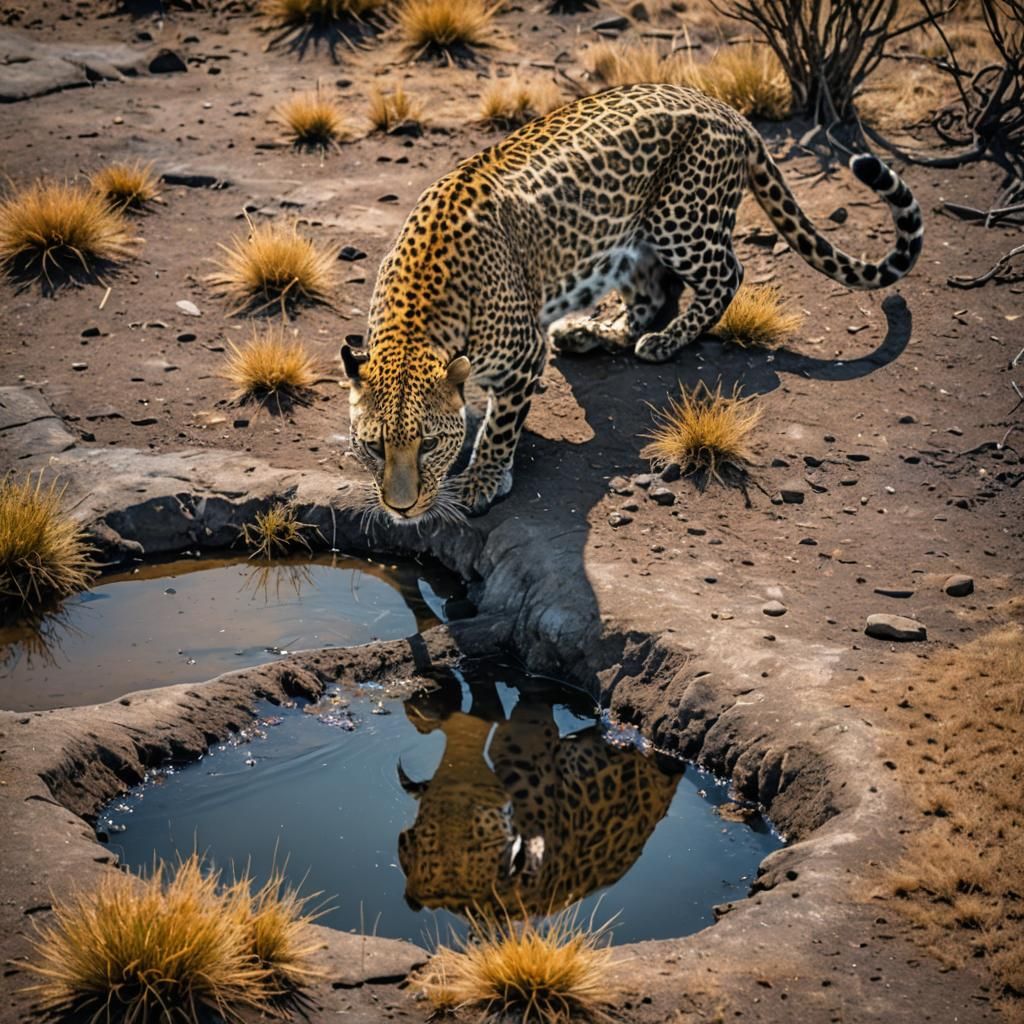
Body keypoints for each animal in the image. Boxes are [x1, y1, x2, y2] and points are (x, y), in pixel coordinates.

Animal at [341, 82, 923, 521]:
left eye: (428, 445)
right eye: (373, 447)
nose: (400, 509)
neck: (417, 317)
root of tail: (728, 110)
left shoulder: (525, 356)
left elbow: (500, 428)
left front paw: (483, 478)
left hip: (681, 221)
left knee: (726, 274)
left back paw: (664, 342)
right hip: (629, 245)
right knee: (654, 292)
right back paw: (592, 332)